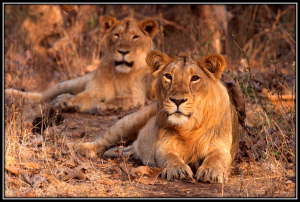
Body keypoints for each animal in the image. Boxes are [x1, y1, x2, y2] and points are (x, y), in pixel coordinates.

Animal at [5, 15, 157, 113]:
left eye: (135, 37)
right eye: (117, 35)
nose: (123, 52)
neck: (121, 73)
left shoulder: (139, 96)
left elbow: (120, 99)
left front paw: (105, 106)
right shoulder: (96, 90)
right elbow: (83, 96)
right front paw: (68, 103)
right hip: (74, 82)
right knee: (43, 95)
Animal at [74, 50, 239, 183]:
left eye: (195, 78)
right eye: (168, 76)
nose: (177, 100)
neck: (190, 127)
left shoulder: (220, 145)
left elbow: (217, 157)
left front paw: (211, 171)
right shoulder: (163, 145)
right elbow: (169, 157)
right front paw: (177, 169)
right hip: (130, 121)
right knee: (103, 140)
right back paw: (80, 147)